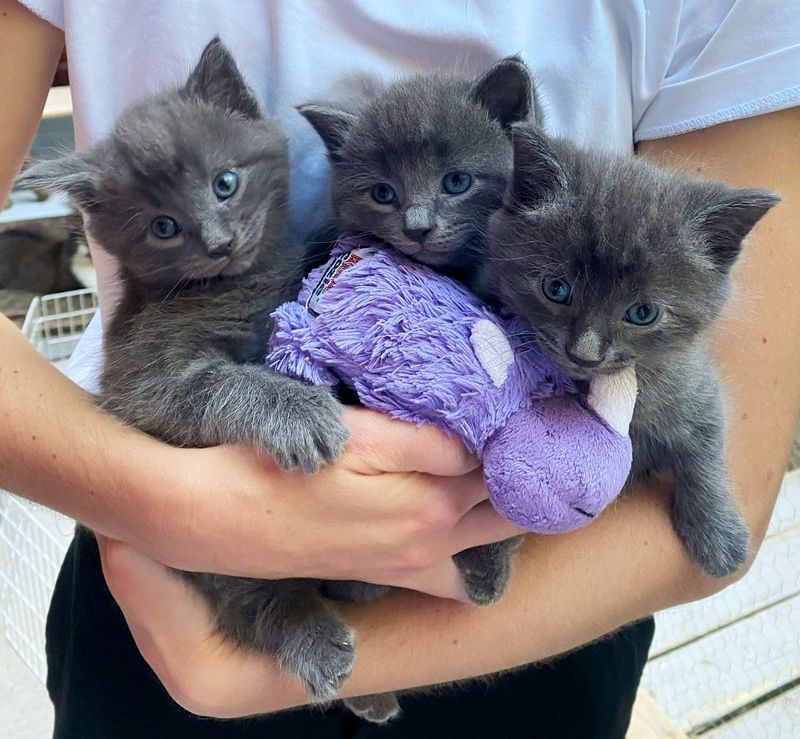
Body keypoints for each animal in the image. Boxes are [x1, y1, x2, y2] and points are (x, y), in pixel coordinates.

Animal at [15, 39, 358, 704]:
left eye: (226, 183)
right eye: (163, 227)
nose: (220, 242)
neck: (238, 283)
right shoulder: (146, 385)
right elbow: (223, 383)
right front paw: (300, 413)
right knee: (252, 600)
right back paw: (316, 642)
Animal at [484, 124, 780, 580]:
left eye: (642, 313)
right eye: (556, 288)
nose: (584, 352)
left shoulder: (693, 384)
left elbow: (705, 448)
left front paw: (717, 534)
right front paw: (485, 562)